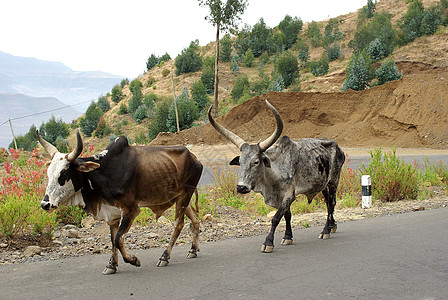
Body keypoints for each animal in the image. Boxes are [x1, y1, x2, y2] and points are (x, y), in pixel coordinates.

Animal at [208, 101, 344, 253]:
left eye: (256, 162)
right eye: (241, 161)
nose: (241, 187)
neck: (273, 174)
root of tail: (337, 147)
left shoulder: (289, 195)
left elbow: (276, 218)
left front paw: (268, 242)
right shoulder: (281, 197)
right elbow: (287, 215)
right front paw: (288, 237)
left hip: (333, 181)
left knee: (331, 204)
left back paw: (326, 230)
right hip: (323, 185)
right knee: (328, 203)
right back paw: (332, 226)